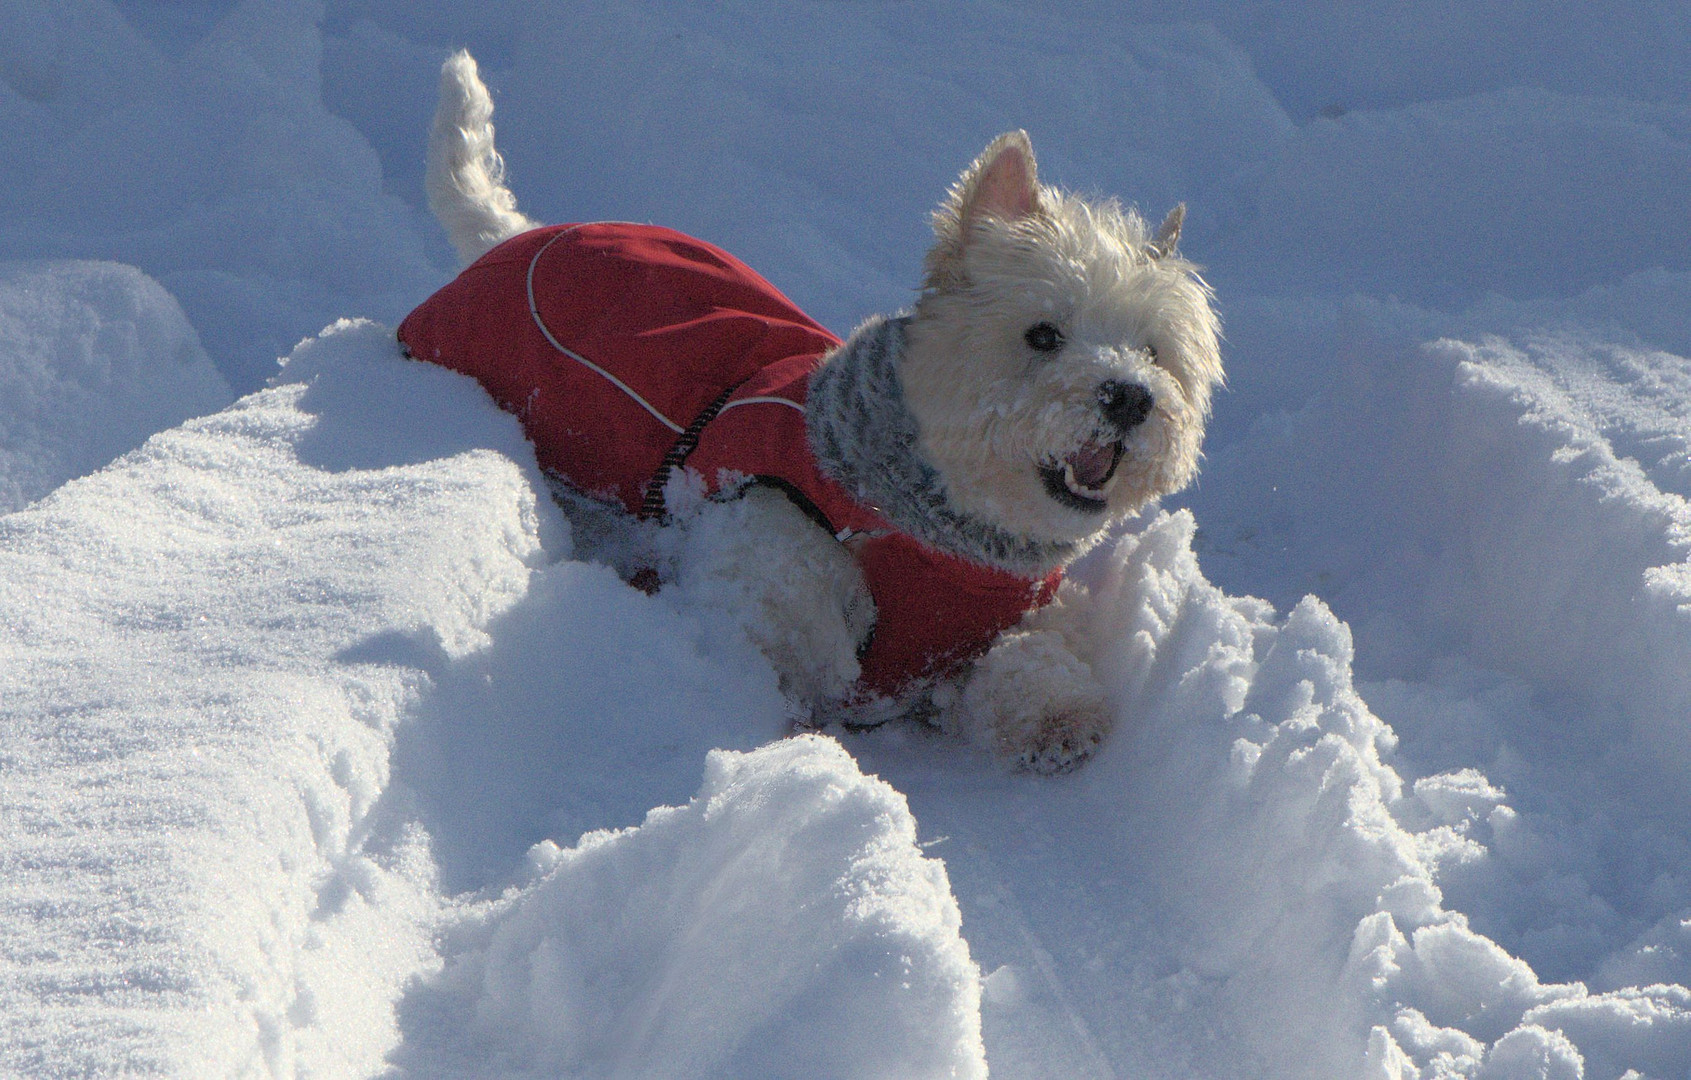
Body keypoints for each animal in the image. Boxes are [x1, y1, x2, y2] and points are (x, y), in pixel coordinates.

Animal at [405, 52, 1231, 777]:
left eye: (1154, 352)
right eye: (1042, 335)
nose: (1128, 396)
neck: (946, 530)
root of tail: (519, 237)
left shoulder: (1010, 614)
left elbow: (1031, 657)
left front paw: (1056, 722)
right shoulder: (760, 535)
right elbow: (785, 625)